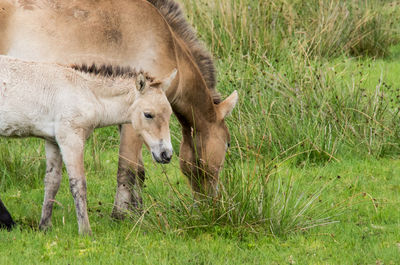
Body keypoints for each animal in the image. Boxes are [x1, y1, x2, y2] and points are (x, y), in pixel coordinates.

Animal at [0, 55, 177, 233]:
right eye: (148, 114)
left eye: (170, 113)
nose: (166, 154)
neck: (84, 91)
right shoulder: (71, 138)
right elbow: (78, 184)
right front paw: (85, 231)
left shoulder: (53, 141)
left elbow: (52, 182)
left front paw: (45, 226)